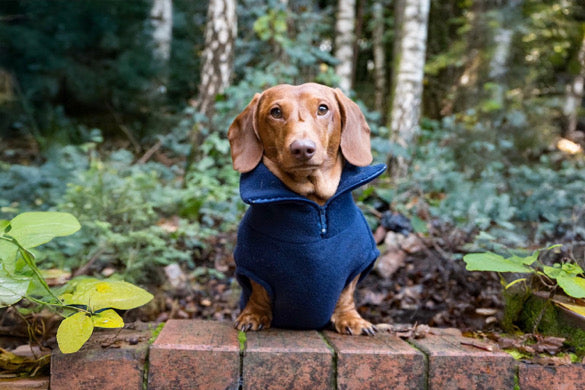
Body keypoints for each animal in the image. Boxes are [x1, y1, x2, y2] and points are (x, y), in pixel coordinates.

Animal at [227, 83, 384, 336]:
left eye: (323, 109)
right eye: (276, 112)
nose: (302, 149)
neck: (315, 204)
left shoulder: (358, 264)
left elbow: (346, 294)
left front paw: (351, 319)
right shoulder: (252, 267)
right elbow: (258, 292)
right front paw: (253, 315)